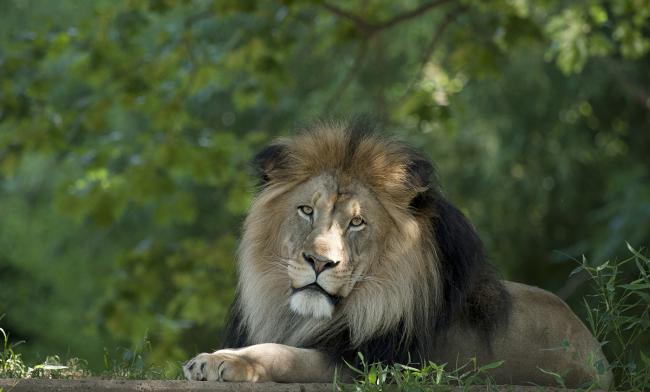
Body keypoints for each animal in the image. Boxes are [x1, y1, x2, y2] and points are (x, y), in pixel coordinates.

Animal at [184, 121, 612, 388]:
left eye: (357, 222)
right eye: (307, 211)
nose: (320, 263)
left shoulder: (372, 366)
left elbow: (285, 354)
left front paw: (222, 361)